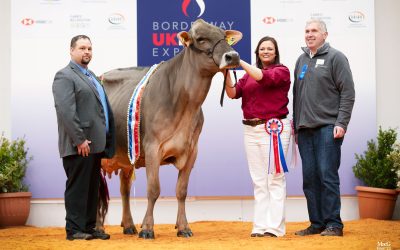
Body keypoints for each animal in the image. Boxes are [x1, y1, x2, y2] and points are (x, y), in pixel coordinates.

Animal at [97, 19, 242, 238]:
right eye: (201, 39)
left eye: (224, 36)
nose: (232, 56)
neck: (185, 106)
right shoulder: (152, 147)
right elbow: (153, 189)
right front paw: (148, 228)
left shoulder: (192, 151)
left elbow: (181, 191)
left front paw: (183, 227)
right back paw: (98, 227)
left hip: (126, 154)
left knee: (124, 188)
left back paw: (129, 225)